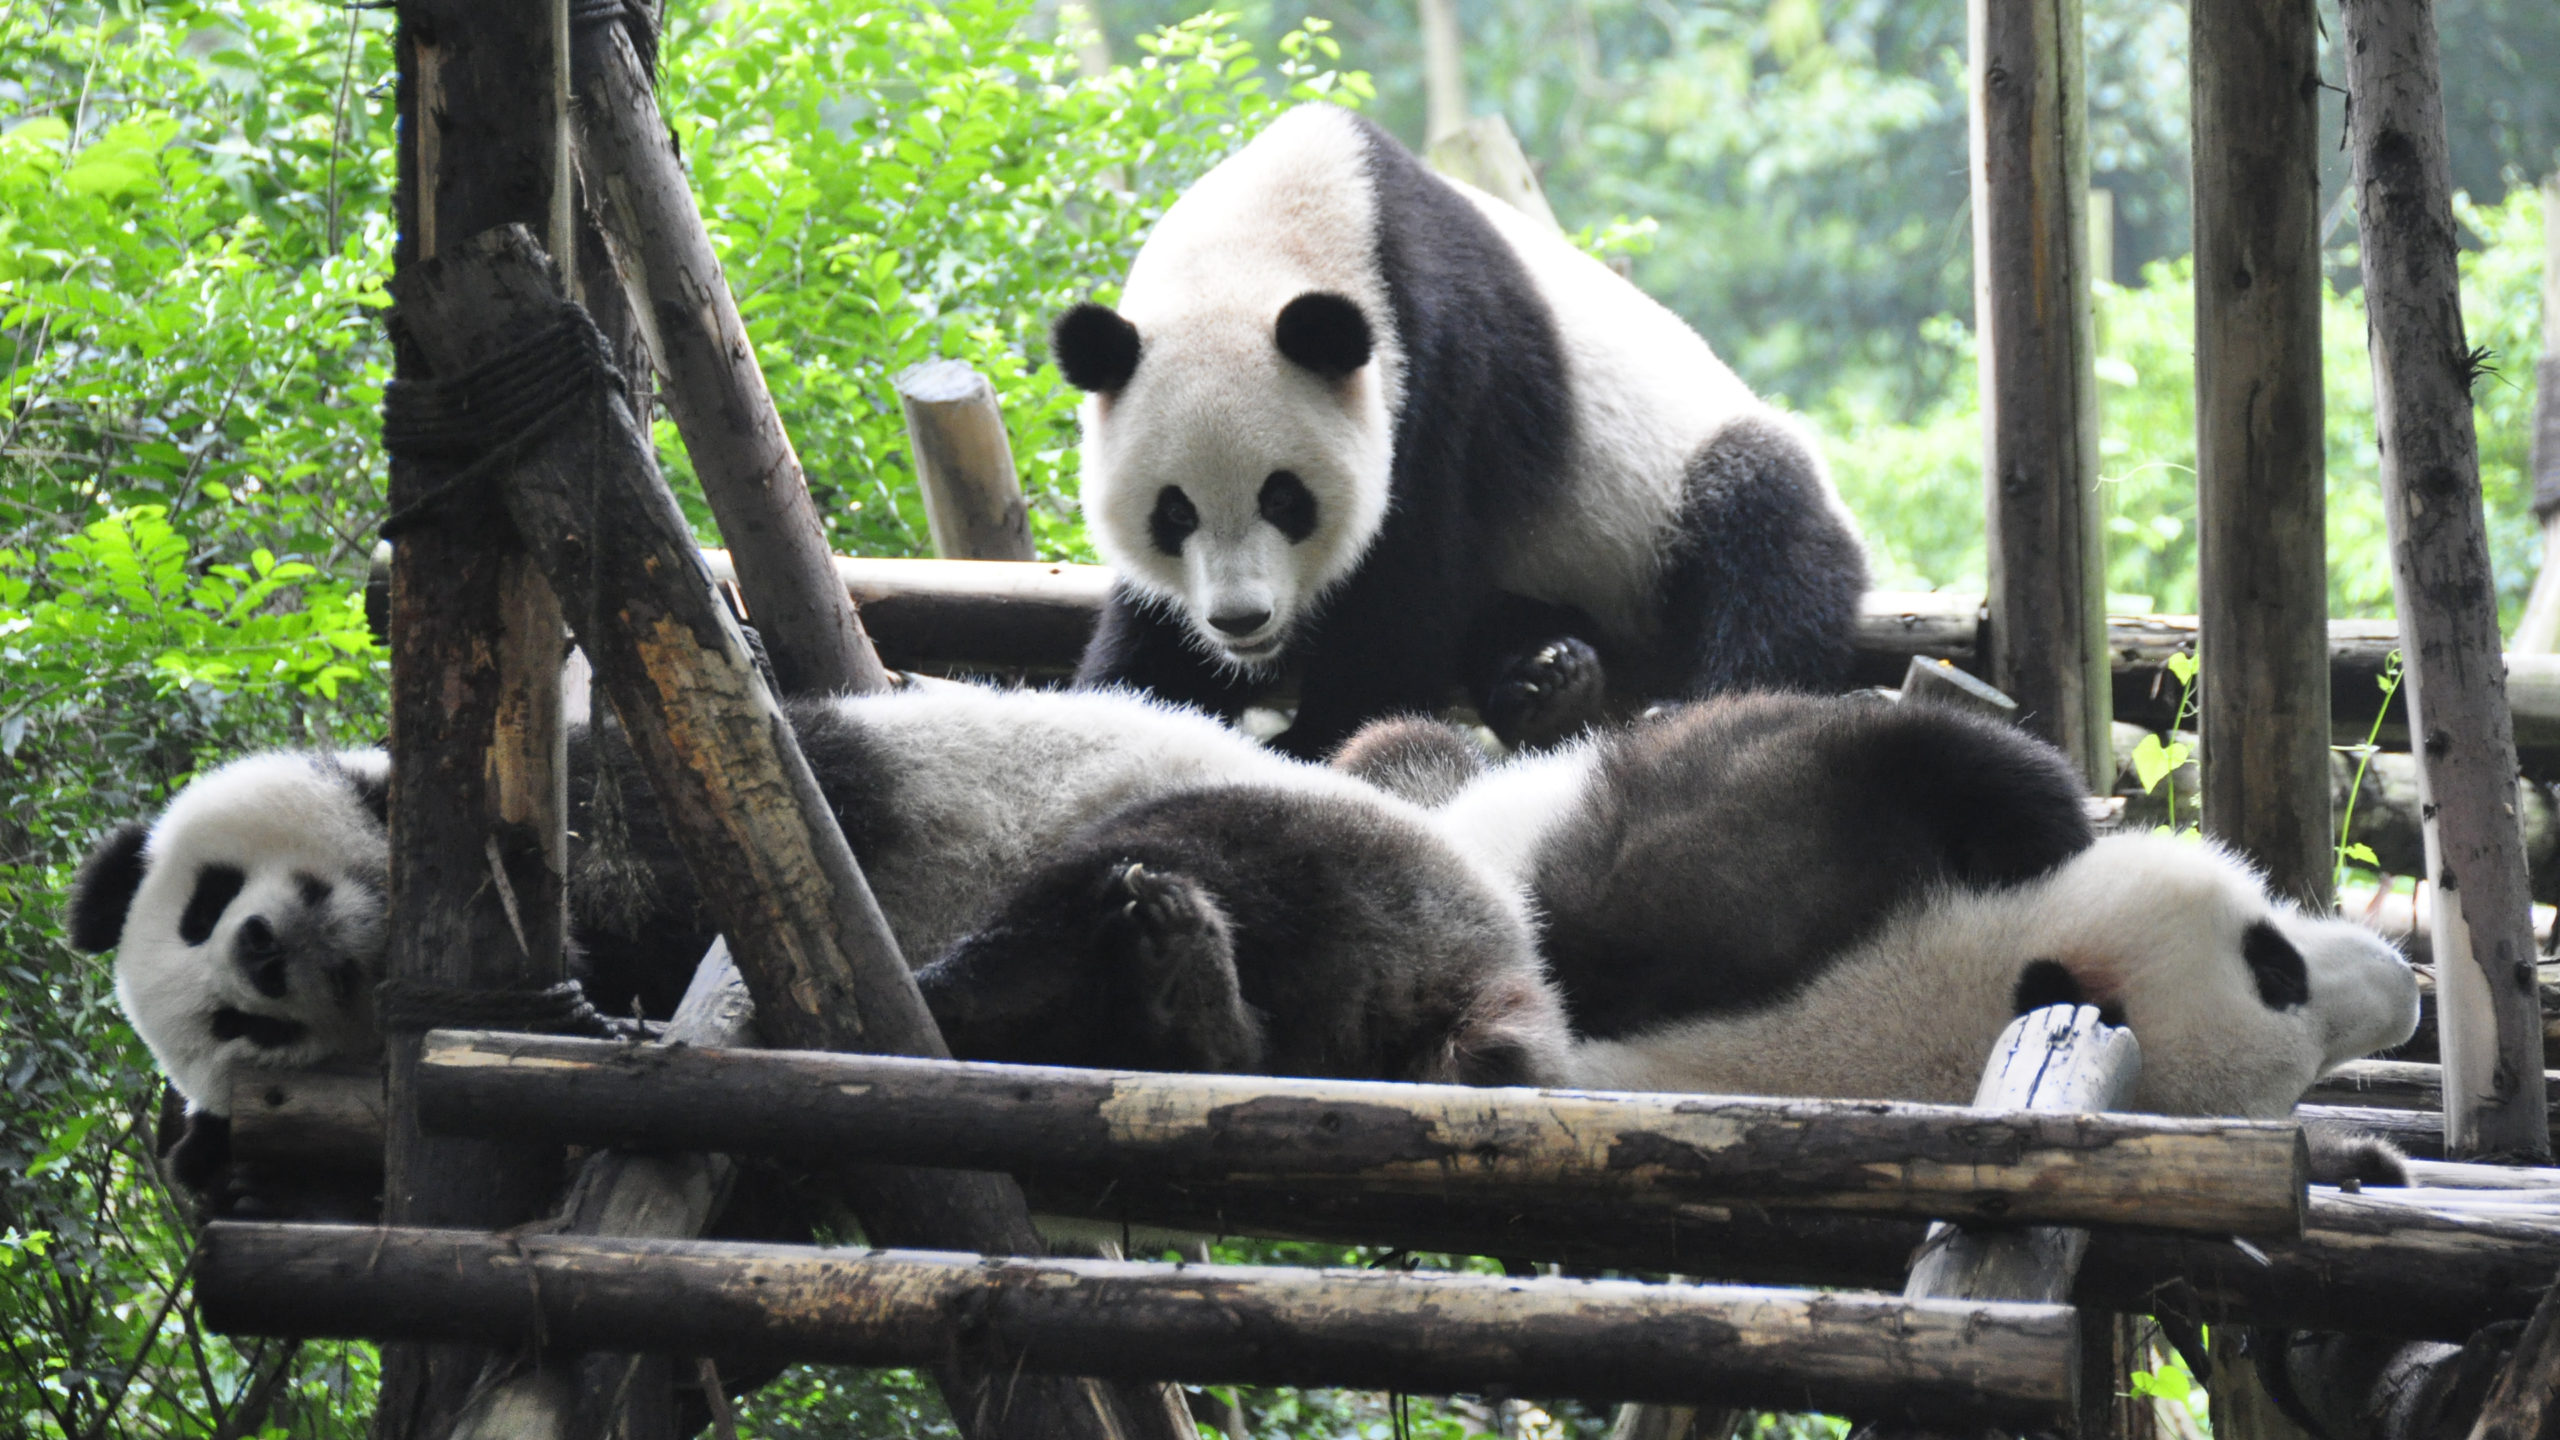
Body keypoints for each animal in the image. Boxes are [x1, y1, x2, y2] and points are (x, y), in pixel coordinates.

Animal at [1052, 103, 1868, 759]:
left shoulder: (1442, 375)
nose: (1240, 618)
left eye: (1284, 499)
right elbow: (1157, 629)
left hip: (1671, 487)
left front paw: (1315, 737)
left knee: (1765, 540)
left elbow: (1405, 593)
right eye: (1173, 511)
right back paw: (1546, 685)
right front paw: (1135, 702)